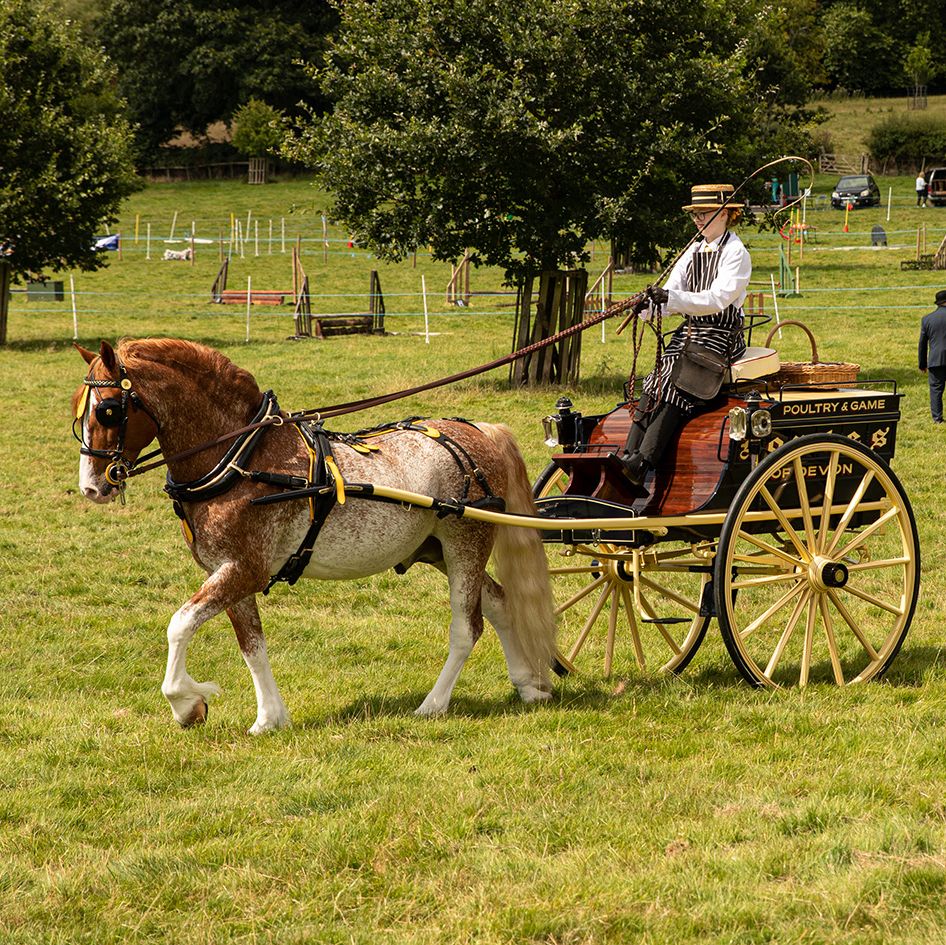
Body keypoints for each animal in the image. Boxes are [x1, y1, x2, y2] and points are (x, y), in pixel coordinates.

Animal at [72, 338, 557, 733]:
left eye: (108, 409)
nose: (92, 486)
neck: (241, 459)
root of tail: (478, 431)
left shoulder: (244, 569)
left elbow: (179, 625)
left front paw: (187, 702)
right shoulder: (228, 573)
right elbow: (252, 645)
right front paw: (269, 718)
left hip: (464, 544)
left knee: (466, 626)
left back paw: (433, 704)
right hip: (435, 550)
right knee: (499, 602)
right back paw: (528, 686)